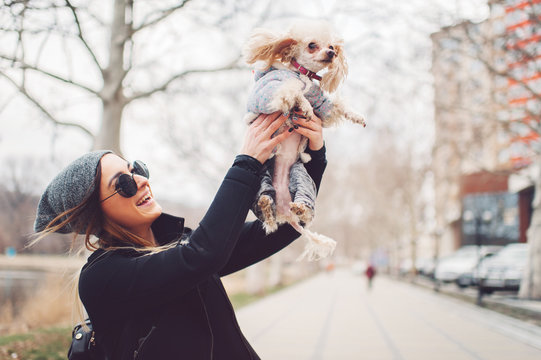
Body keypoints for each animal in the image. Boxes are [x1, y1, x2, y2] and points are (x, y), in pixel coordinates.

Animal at [243, 19, 364, 260]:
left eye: (332, 47)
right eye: (312, 45)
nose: (331, 53)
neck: (304, 75)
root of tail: (284, 211)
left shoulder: (325, 108)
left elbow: (338, 107)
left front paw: (357, 116)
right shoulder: (273, 90)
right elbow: (294, 91)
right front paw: (305, 106)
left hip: (301, 178)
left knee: (304, 212)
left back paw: (298, 208)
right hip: (262, 179)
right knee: (267, 210)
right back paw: (268, 209)